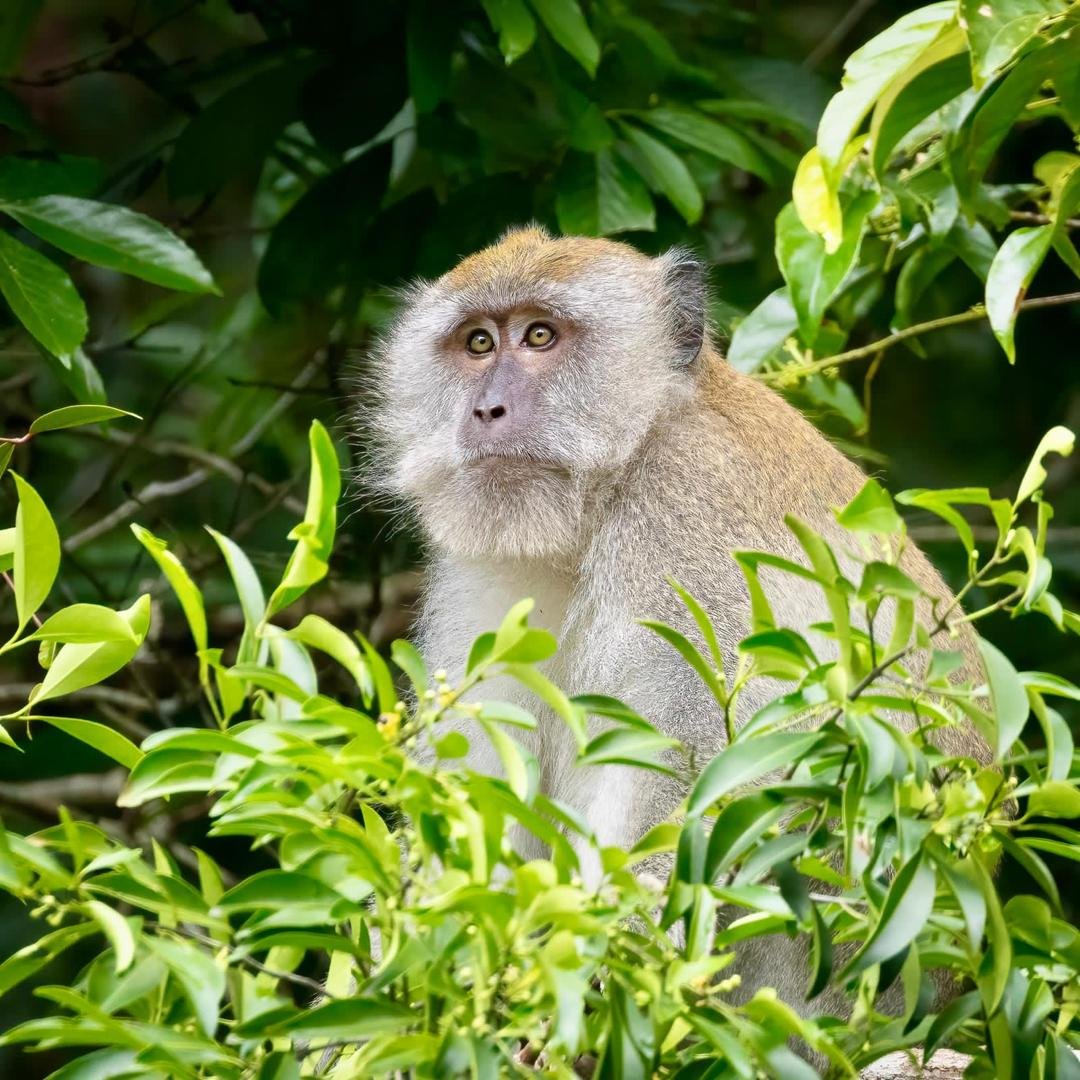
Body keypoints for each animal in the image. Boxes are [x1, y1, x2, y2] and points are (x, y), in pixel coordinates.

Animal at [364, 224, 989, 1019]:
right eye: (477, 343)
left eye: (539, 336)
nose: (487, 411)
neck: (616, 476)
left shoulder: (687, 516)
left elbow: (710, 751)